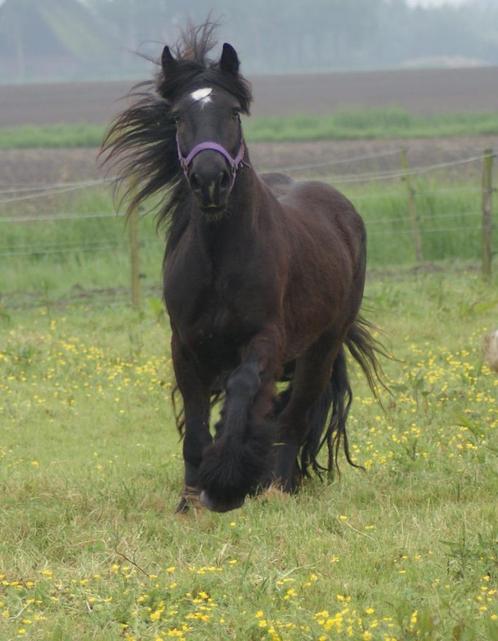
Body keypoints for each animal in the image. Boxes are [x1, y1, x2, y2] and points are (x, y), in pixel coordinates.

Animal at [100, 25, 382, 512]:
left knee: (294, 418)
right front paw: (190, 502)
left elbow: (244, 390)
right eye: (178, 117)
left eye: (232, 113)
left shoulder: (266, 339)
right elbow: (195, 427)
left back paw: (276, 486)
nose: (211, 180)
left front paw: (227, 480)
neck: (220, 260)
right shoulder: (185, 346)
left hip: (322, 348)